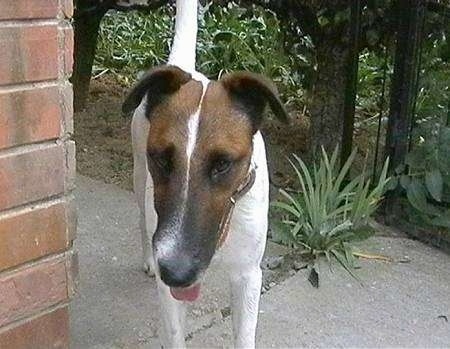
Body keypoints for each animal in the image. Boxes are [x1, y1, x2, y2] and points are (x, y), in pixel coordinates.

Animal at [121, 1, 286, 346]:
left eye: (223, 164)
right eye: (162, 159)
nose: (175, 271)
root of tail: (186, 69)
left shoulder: (248, 275)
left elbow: (244, 336)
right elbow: (174, 334)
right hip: (139, 177)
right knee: (142, 218)